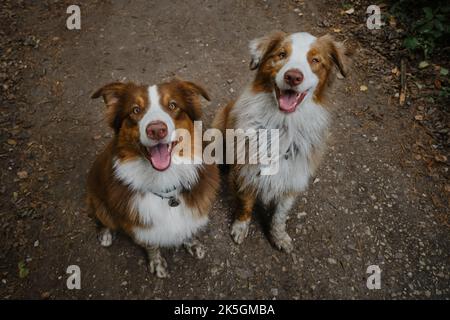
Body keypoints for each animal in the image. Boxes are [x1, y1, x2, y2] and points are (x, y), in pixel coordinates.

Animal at [86, 78, 220, 278]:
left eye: (172, 105)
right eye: (135, 110)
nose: (157, 130)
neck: (164, 182)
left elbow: (187, 229)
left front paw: (192, 243)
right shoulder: (140, 226)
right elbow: (151, 244)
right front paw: (157, 262)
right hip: (98, 200)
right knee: (101, 217)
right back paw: (106, 234)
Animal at [214, 31, 352, 252]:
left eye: (315, 60)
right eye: (281, 54)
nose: (293, 76)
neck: (283, 125)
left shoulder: (293, 177)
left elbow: (280, 215)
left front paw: (278, 237)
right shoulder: (247, 170)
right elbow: (245, 203)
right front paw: (240, 227)